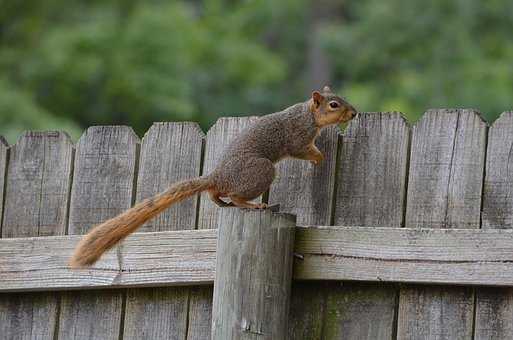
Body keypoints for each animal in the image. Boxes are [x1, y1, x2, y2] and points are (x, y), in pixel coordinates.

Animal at [68, 85, 356, 268]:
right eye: (333, 104)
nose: (353, 113)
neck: (308, 114)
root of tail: (217, 176)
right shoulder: (297, 136)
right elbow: (301, 150)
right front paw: (320, 158)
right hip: (261, 170)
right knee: (235, 196)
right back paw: (253, 204)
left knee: (214, 194)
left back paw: (222, 201)